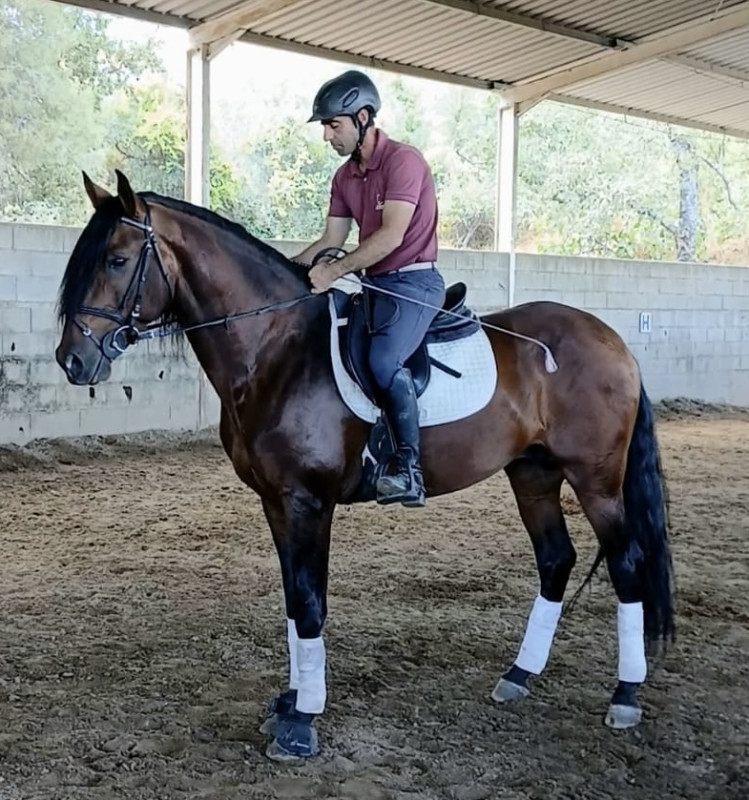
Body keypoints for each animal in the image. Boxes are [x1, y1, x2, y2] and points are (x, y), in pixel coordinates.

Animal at [55, 170, 674, 761]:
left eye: (116, 259)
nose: (72, 361)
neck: (277, 350)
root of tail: (611, 339)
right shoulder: (275, 502)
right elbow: (295, 599)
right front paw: (290, 702)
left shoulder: (309, 501)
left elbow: (309, 604)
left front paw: (301, 725)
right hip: (533, 474)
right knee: (555, 560)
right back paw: (519, 675)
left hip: (595, 481)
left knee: (627, 565)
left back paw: (624, 696)